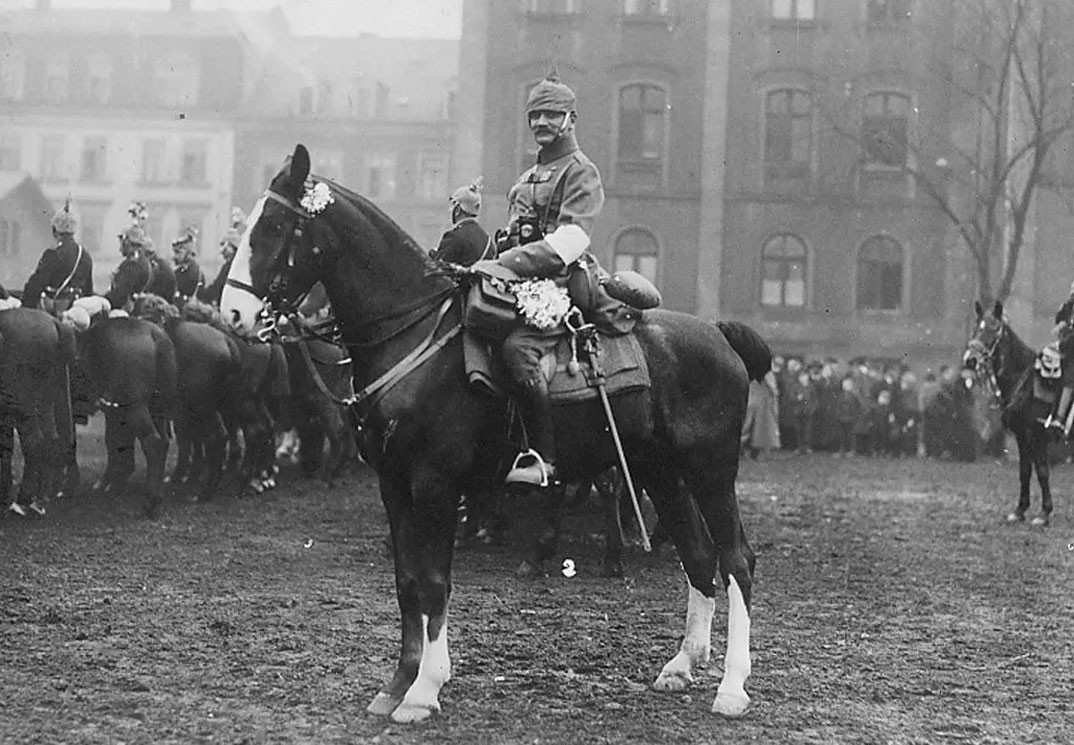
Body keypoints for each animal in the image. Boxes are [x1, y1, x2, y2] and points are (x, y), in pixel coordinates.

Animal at [222, 144, 768, 725]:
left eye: (274, 224)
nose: (232, 313)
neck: (414, 336)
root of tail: (718, 333)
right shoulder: (393, 485)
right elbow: (406, 583)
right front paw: (397, 683)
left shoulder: (434, 485)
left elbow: (434, 583)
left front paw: (424, 689)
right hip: (659, 472)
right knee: (698, 556)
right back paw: (682, 665)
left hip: (710, 472)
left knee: (736, 560)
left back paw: (732, 686)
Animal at [962, 300, 1052, 528]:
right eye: (976, 328)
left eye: (994, 330)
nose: (971, 360)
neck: (1025, 383)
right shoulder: (1022, 436)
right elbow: (1025, 471)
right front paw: (1019, 511)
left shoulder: (1037, 435)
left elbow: (1042, 471)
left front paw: (1044, 513)